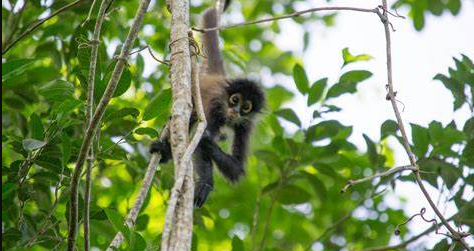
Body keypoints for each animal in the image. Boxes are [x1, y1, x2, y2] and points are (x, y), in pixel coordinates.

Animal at [150, 0, 264, 208]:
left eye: (246, 107)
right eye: (235, 100)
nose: (235, 111)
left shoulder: (246, 125)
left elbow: (236, 168)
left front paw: (209, 141)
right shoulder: (214, 106)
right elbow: (199, 144)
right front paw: (205, 183)